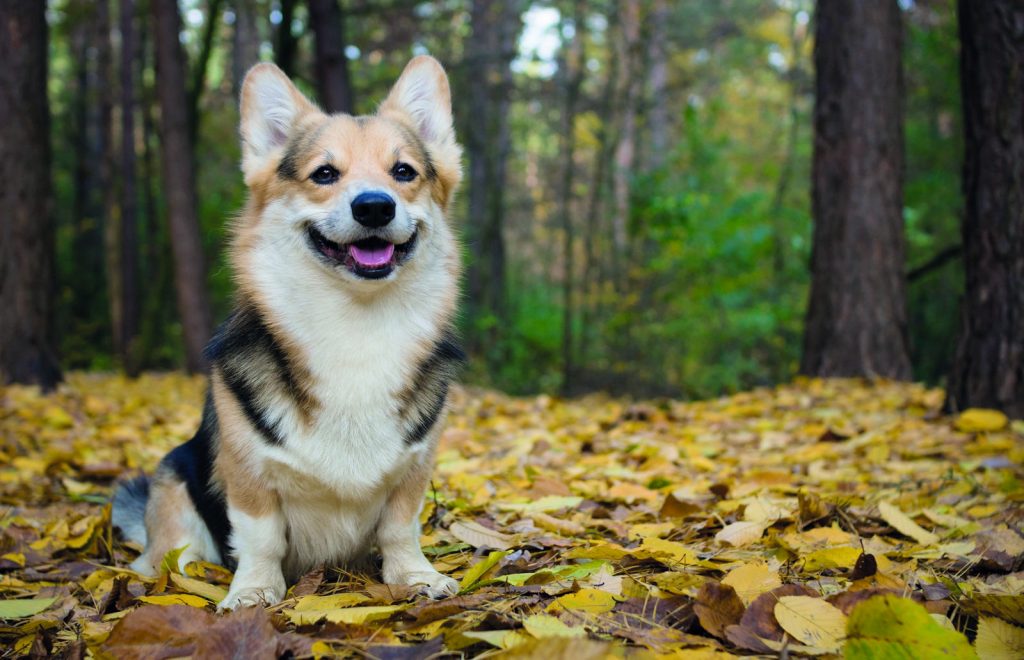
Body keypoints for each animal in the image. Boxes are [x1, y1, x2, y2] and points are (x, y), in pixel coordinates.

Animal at [113, 56, 464, 605]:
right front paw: (254, 591)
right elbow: (261, 538)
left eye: (403, 171)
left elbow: (400, 528)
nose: (374, 206)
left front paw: (415, 577)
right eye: (324, 173)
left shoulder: (414, 469)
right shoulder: (248, 473)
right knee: (175, 555)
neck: (355, 323)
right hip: (174, 481)